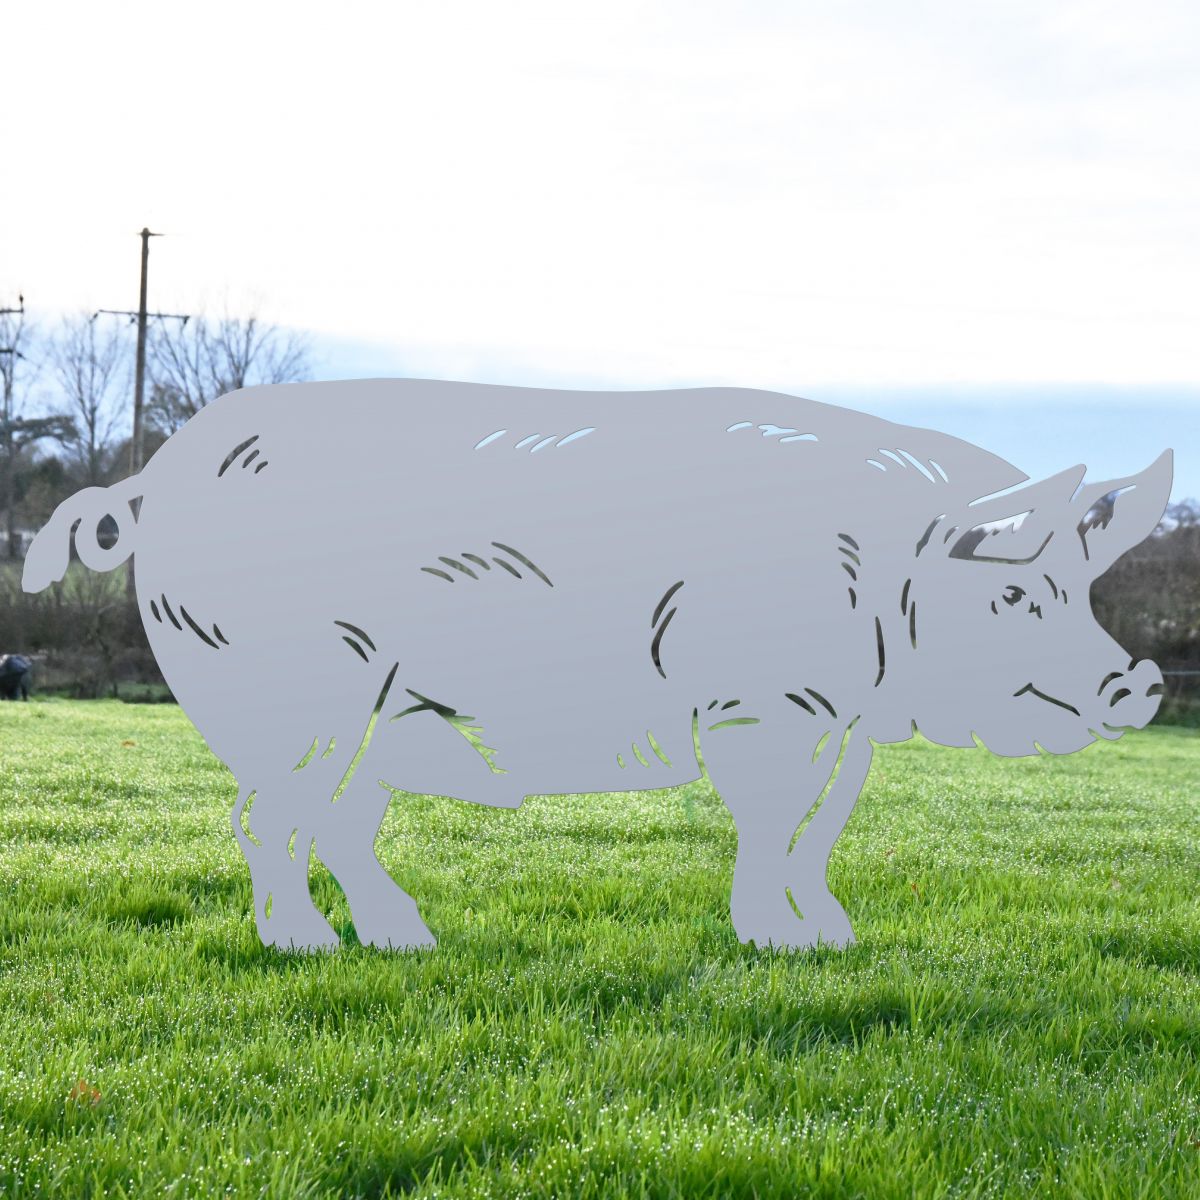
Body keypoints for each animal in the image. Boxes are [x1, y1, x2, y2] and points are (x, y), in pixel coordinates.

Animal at [21, 380, 1172, 952]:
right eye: (1017, 595)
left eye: (1080, 590)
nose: (1141, 682)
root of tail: (154, 481)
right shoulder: (760, 699)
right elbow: (768, 824)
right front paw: (780, 947)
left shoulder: (837, 719)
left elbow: (819, 829)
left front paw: (834, 944)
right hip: (300, 690)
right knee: (267, 820)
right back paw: (305, 950)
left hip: (388, 711)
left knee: (336, 826)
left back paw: (406, 946)